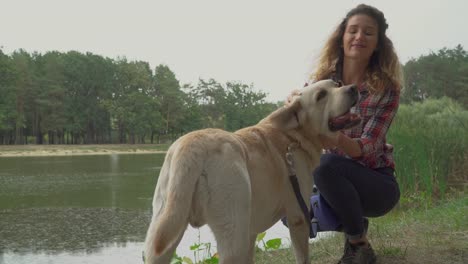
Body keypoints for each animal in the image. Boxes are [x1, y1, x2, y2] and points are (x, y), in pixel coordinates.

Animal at [144, 80, 360, 264]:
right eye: (321, 95)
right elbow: (303, 257)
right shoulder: (298, 216)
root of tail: (192, 144)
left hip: (162, 234)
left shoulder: (251, 231)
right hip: (233, 234)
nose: (353, 88)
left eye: (336, 84)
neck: (294, 137)